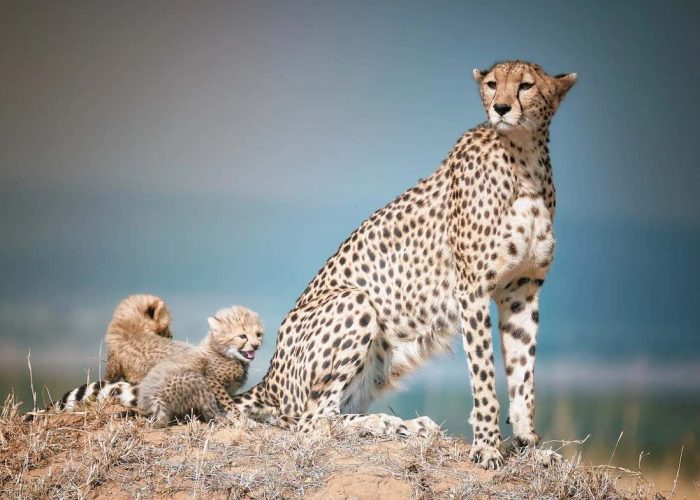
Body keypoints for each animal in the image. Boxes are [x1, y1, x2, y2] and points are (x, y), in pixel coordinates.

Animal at [232, 59, 576, 468]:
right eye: (493, 84)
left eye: (526, 85)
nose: (502, 108)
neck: (524, 160)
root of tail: (269, 378)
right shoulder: (472, 290)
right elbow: (484, 376)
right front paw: (487, 446)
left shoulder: (521, 290)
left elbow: (524, 375)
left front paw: (530, 447)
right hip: (355, 301)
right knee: (309, 421)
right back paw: (386, 424)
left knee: (329, 412)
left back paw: (405, 426)